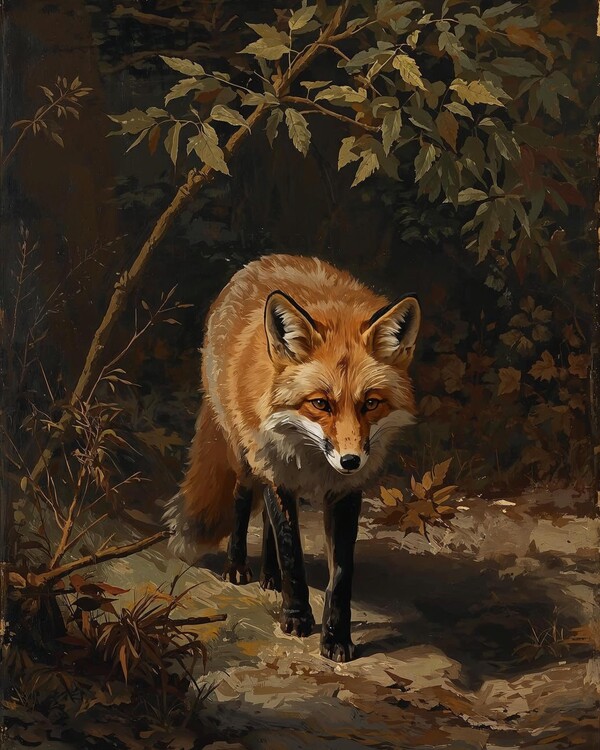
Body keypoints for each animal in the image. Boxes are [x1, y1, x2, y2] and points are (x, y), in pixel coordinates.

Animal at [165, 254, 421, 662]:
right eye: (320, 403)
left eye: (370, 403)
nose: (351, 461)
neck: (313, 458)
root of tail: (258, 263)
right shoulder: (275, 468)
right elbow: (292, 554)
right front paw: (297, 617)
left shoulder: (344, 493)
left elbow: (340, 574)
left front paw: (336, 638)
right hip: (246, 458)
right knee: (242, 503)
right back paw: (238, 566)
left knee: (268, 525)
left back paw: (269, 576)